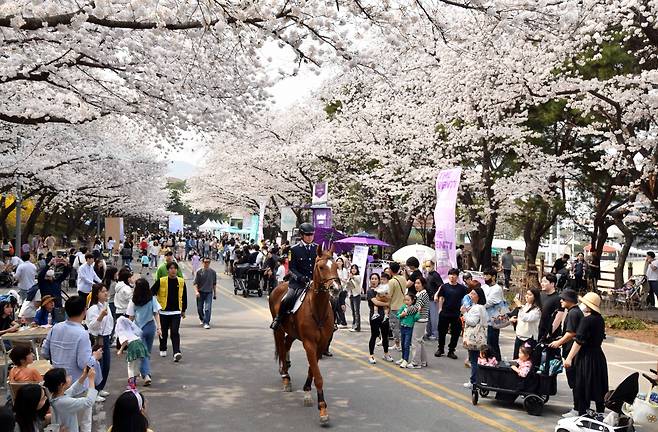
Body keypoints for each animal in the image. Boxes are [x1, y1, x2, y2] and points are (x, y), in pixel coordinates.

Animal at [268, 246, 338, 426]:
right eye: (321, 267)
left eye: (336, 266)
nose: (335, 288)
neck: (317, 308)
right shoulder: (309, 343)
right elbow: (318, 376)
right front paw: (323, 410)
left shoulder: (321, 345)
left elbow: (312, 370)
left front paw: (307, 392)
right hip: (279, 329)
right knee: (281, 346)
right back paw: (285, 377)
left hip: (292, 333)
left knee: (286, 344)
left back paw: (286, 366)